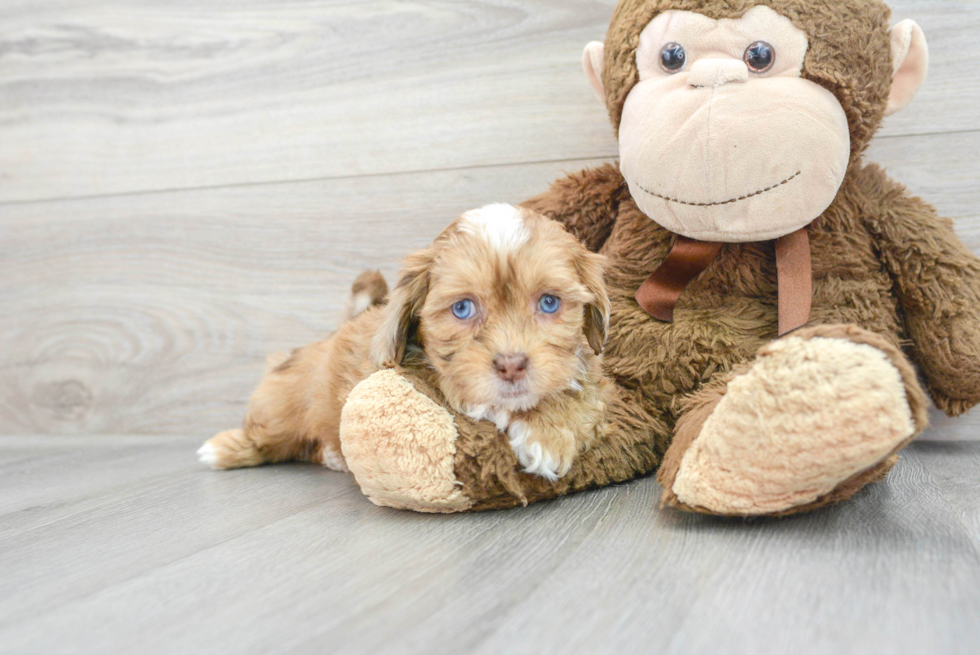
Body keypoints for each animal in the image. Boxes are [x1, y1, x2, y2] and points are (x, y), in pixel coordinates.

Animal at [197, 205, 612, 482]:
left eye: (549, 303)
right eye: (463, 308)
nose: (511, 365)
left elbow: (581, 391)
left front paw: (550, 429)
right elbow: (484, 401)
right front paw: (541, 429)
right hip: (279, 406)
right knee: (268, 436)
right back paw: (224, 449)